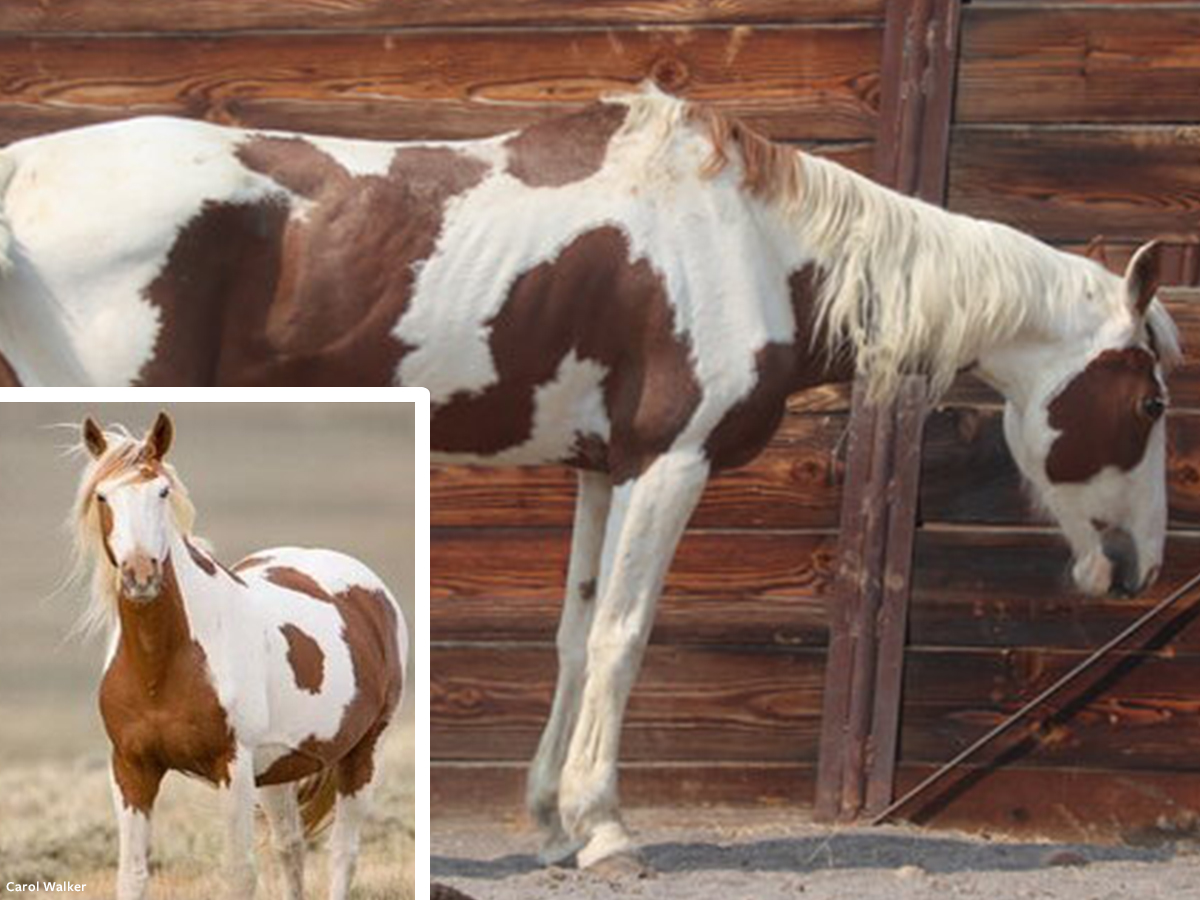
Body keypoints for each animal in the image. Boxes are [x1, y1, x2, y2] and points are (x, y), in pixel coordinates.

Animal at [71, 412, 408, 900]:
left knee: (343, 853)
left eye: (162, 491)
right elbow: (132, 875)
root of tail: (370, 589)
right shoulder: (132, 768)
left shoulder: (231, 766)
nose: (141, 575)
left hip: (362, 752)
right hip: (278, 771)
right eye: (102, 495)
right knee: (291, 848)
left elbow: (238, 873)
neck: (161, 666)